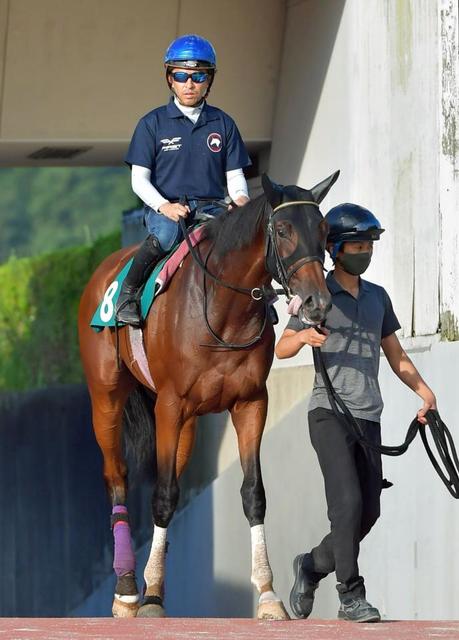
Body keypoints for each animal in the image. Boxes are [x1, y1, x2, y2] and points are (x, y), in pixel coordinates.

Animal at [78, 171, 339, 619]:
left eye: (322, 229)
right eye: (283, 229)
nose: (316, 302)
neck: (222, 310)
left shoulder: (250, 403)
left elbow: (252, 493)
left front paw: (267, 594)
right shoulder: (170, 404)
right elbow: (163, 496)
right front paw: (147, 601)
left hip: (186, 424)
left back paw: (152, 584)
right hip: (107, 398)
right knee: (118, 476)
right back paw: (128, 589)